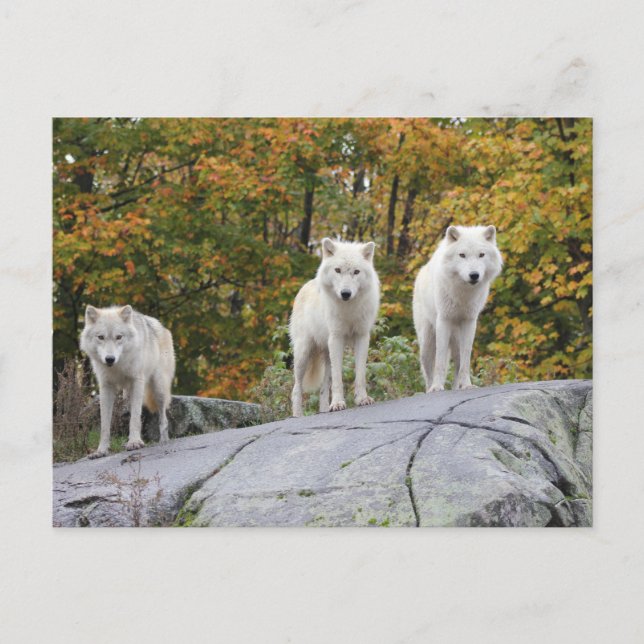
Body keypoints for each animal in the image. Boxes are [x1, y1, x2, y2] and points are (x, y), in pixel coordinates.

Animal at [79, 305, 175, 458]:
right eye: (101, 337)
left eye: (119, 337)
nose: (110, 359)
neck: (118, 366)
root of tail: (162, 326)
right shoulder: (106, 388)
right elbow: (105, 424)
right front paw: (101, 450)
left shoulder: (137, 382)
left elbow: (135, 418)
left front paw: (134, 443)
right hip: (127, 395)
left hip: (158, 390)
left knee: (163, 419)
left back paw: (164, 442)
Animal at [289, 238, 380, 417]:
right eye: (337, 270)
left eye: (356, 272)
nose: (345, 293)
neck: (349, 308)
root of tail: (305, 286)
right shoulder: (336, 338)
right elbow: (338, 379)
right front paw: (338, 403)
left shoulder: (362, 337)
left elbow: (360, 374)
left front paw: (362, 399)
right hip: (303, 353)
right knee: (296, 388)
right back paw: (297, 415)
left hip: (326, 356)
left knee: (323, 388)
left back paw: (325, 410)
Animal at [413, 225, 503, 393]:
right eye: (462, 255)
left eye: (481, 255)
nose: (474, 275)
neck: (463, 293)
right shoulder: (444, 321)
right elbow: (440, 361)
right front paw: (437, 387)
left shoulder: (470, 322)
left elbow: (465, 360)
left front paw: (466, 385)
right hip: (427, 343)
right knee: (428, 371)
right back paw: (430, 389)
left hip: (456, 340)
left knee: (458, 363)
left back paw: (456, 388)